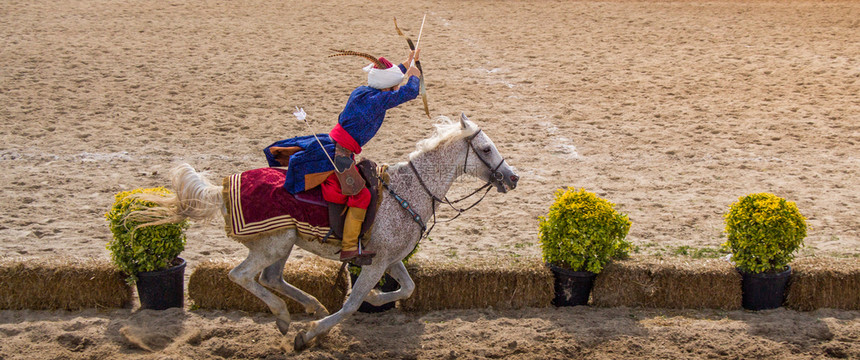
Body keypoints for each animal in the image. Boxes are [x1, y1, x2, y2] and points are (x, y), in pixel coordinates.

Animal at [144, 114, 516, 350]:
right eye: (485, 149)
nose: (512, 177)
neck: (408, 190)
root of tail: (224, 190)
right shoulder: (376, 264)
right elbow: (351, 305)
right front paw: (308, 336)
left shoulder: (390, 260)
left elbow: (408, 288)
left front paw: (375, 299)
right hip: (273, 245)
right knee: (242, 276)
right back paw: (285, 316)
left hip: (284, 244)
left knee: (271, 278)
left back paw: (311, 307)